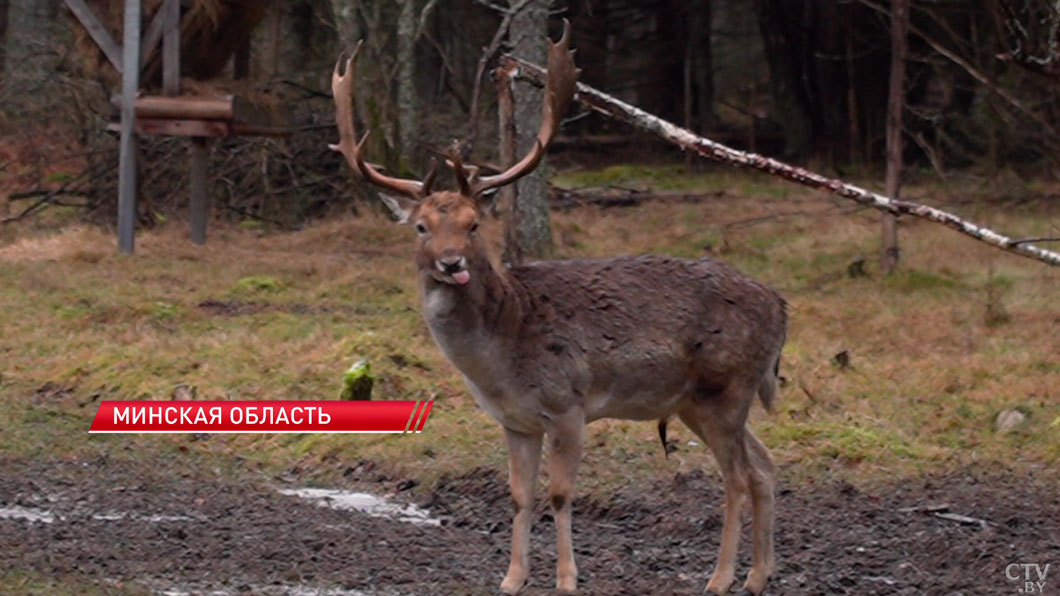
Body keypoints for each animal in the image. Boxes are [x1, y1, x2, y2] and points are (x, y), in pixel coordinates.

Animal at [330, 20, 788, 589]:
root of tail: (782, 307)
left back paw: (720, 578)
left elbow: (560, 494)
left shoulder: (568, 404)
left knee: (738, 477)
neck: (502, 354)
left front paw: (567, 579)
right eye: (421, 226)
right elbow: (519, 496)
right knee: (765, 466)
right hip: (697, 401)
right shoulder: (514, 421)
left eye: (473, 225)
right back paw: (758, 576)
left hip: (725, 388)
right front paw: (511, 579)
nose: (452, 263)